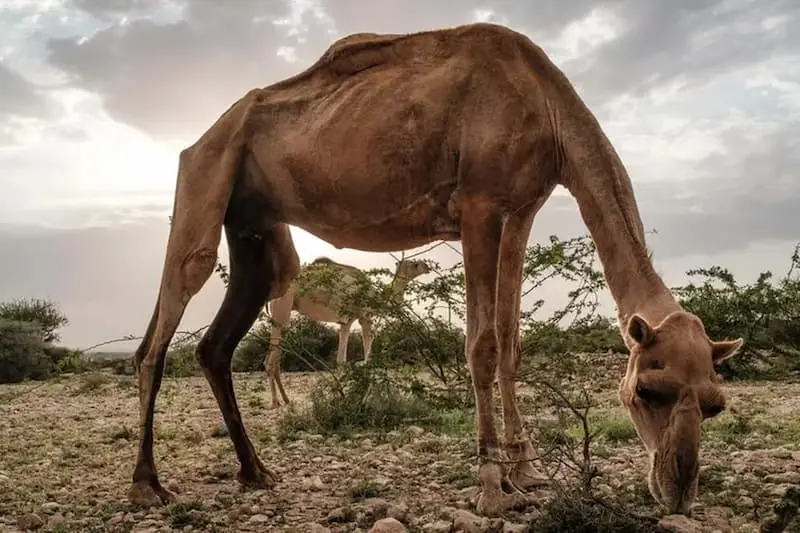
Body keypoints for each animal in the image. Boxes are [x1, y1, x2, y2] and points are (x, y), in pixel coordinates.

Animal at [264, 254, 428, 408]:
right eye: (414, 264)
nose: (427, 266)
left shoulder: (345, 321)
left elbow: (341, 360)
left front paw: (343, 396)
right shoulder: (363, 317)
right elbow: (365, 359)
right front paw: (359, 398)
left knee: (274, 357)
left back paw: (286, 399)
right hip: (283, 306)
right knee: (270, 360)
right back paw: (275, 401)